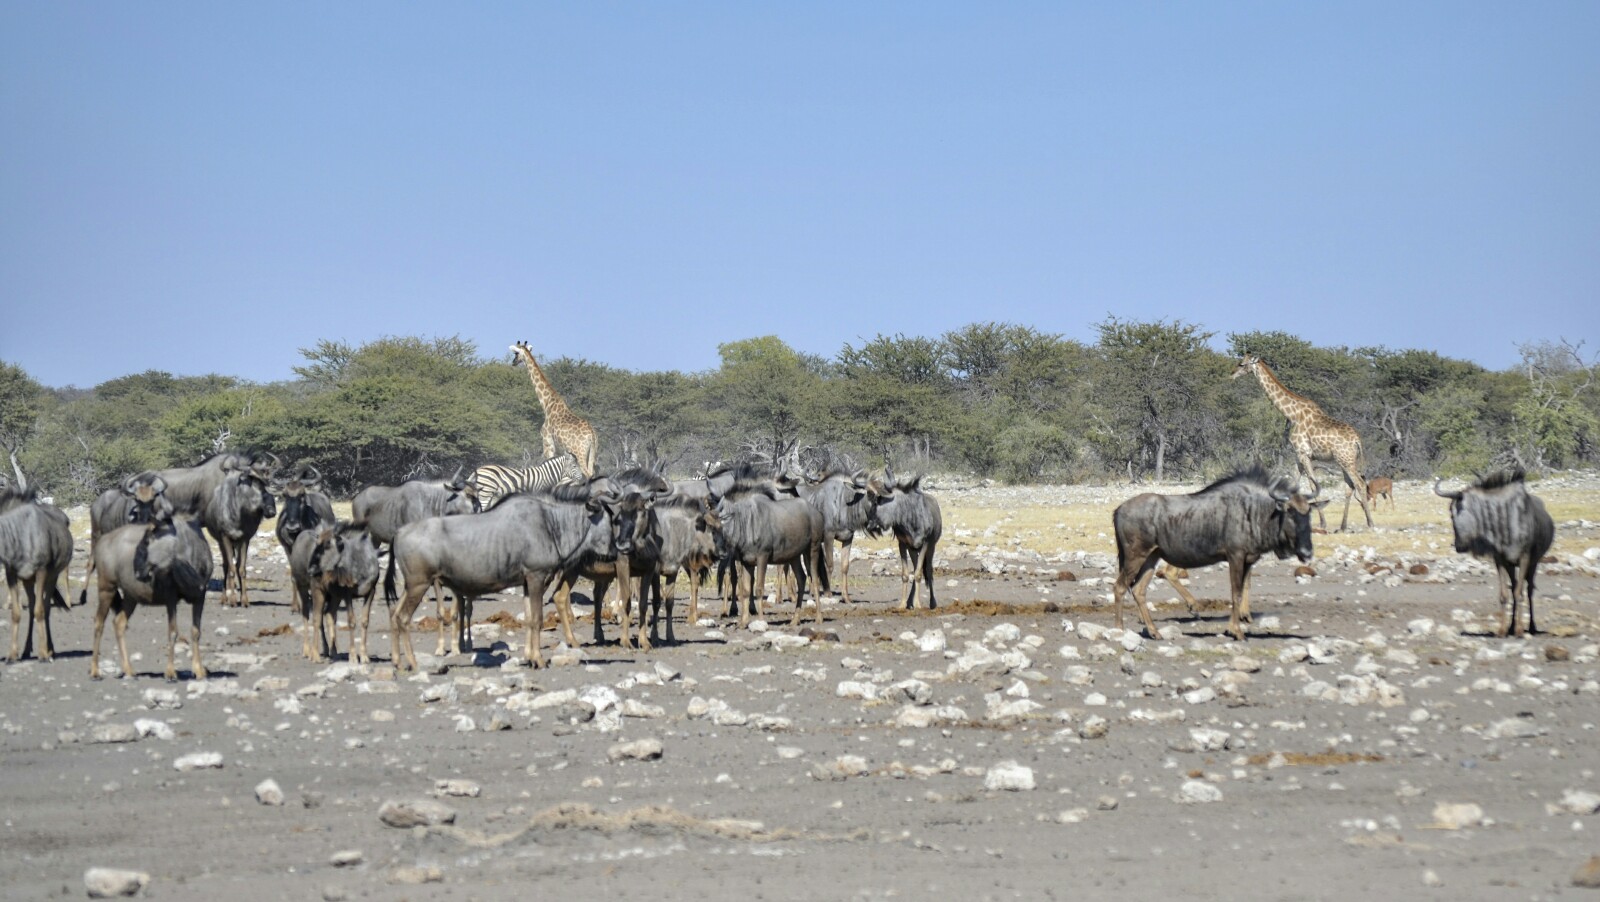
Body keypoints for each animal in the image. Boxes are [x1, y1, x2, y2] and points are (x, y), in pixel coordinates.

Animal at [510, 341, 599, 477]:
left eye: (516, 353)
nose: (513, 362)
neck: (547, 404)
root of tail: (592, 435)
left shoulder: (547, 442)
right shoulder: (560, 449)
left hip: (580, 452)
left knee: (587, 474)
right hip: (593, 452)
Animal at [1232, 355, 1373, 532]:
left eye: (1242, 364)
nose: (1232, 374)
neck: (1292, 414)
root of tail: (1357, 440)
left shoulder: (1303, 453)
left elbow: (1313, 486)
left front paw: (1322, 523)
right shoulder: (1298, 457)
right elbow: (1294, 485)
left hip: (1346, 461)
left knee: (1359, 484)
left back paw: (1370, 523)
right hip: (1345, 461)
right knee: (1350, 486)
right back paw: (1342, 526)